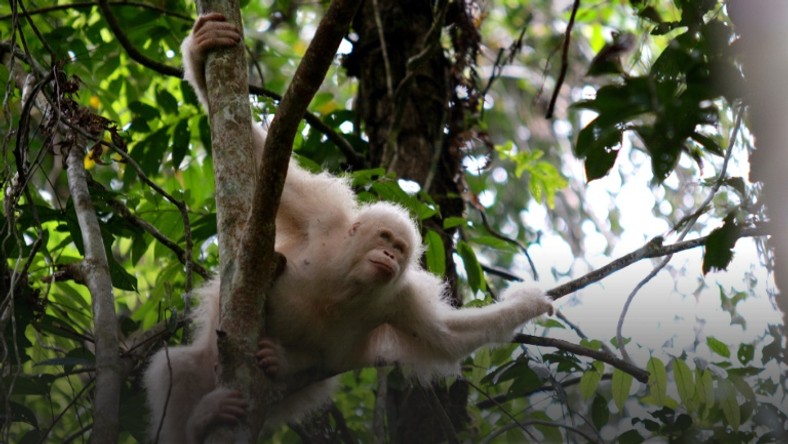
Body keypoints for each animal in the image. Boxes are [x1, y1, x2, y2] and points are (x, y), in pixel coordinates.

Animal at [143, 13, 554, 443]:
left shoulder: (400, 299)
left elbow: (446, 335)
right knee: (177, 368)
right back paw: (199, 421)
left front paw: (528, 306)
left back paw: (274, 367)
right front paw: (201, 53)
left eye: (400, 250)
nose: (389, 254)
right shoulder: (322, 216)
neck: (345, 277)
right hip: (207, 364)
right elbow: (266, 167)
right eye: (385, 239)